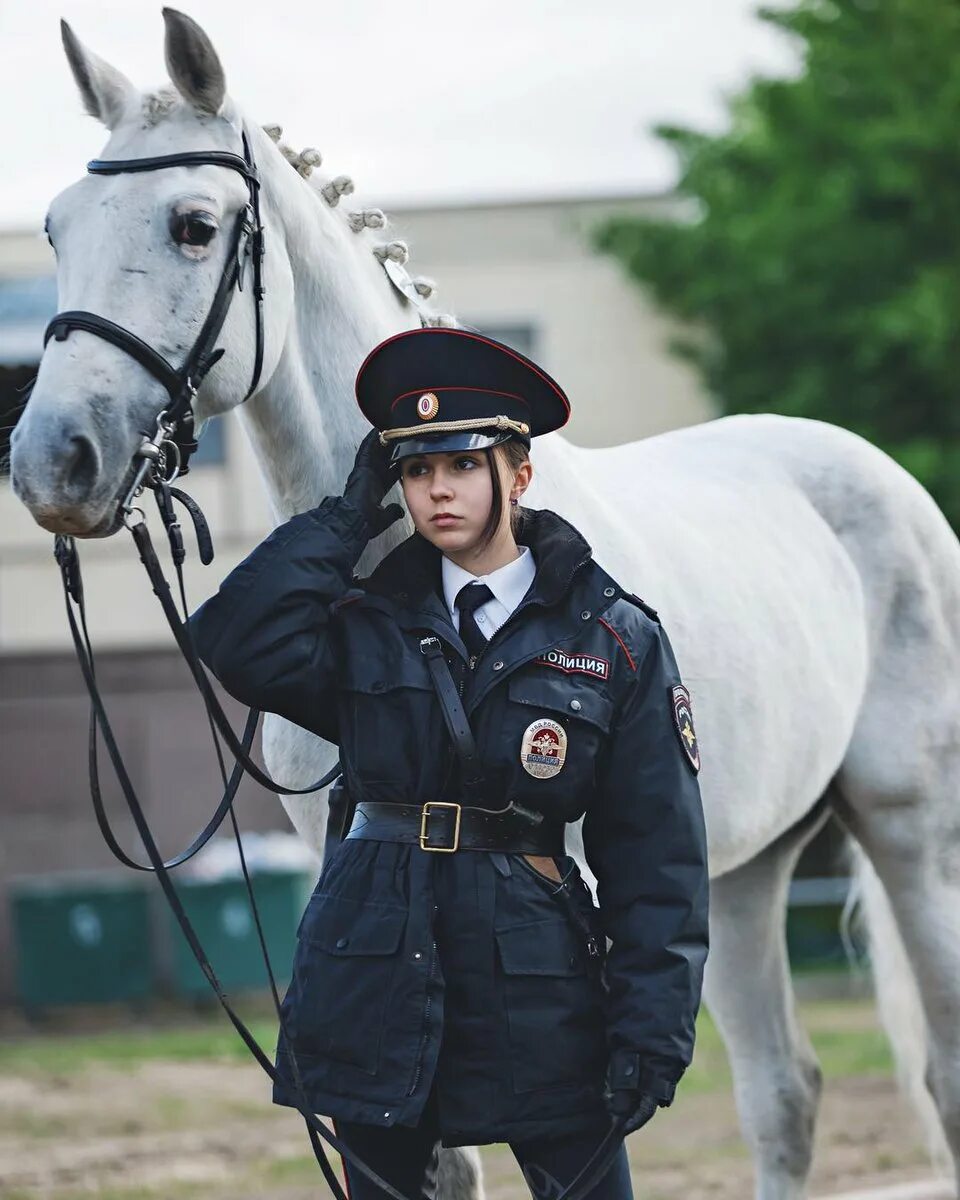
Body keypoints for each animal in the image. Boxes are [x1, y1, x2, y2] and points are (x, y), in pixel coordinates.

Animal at [11, 11, 960, 1200]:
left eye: (192, 225)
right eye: (54, 228)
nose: (52, 462)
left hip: (913, 831)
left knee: (939, 1076)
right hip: (740, 869)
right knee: (783, 1095)